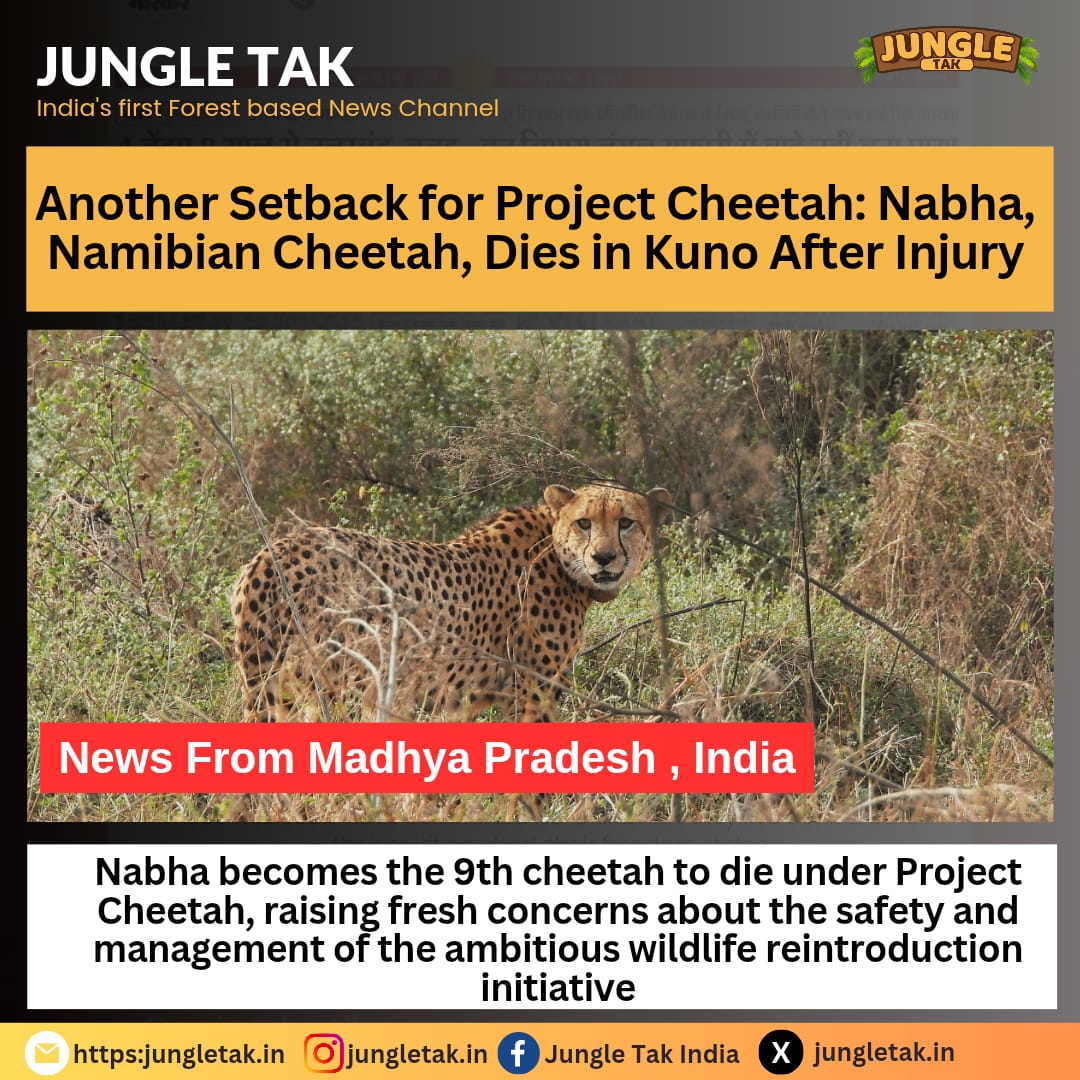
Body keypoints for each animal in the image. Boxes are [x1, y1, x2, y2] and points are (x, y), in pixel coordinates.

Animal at [231, 483, 672, 723]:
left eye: (626, 522)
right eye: (584, 523)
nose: (603, 558)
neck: (556, 551)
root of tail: (271, 552)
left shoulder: (462, 700)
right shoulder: (533, 693)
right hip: (340, 686)